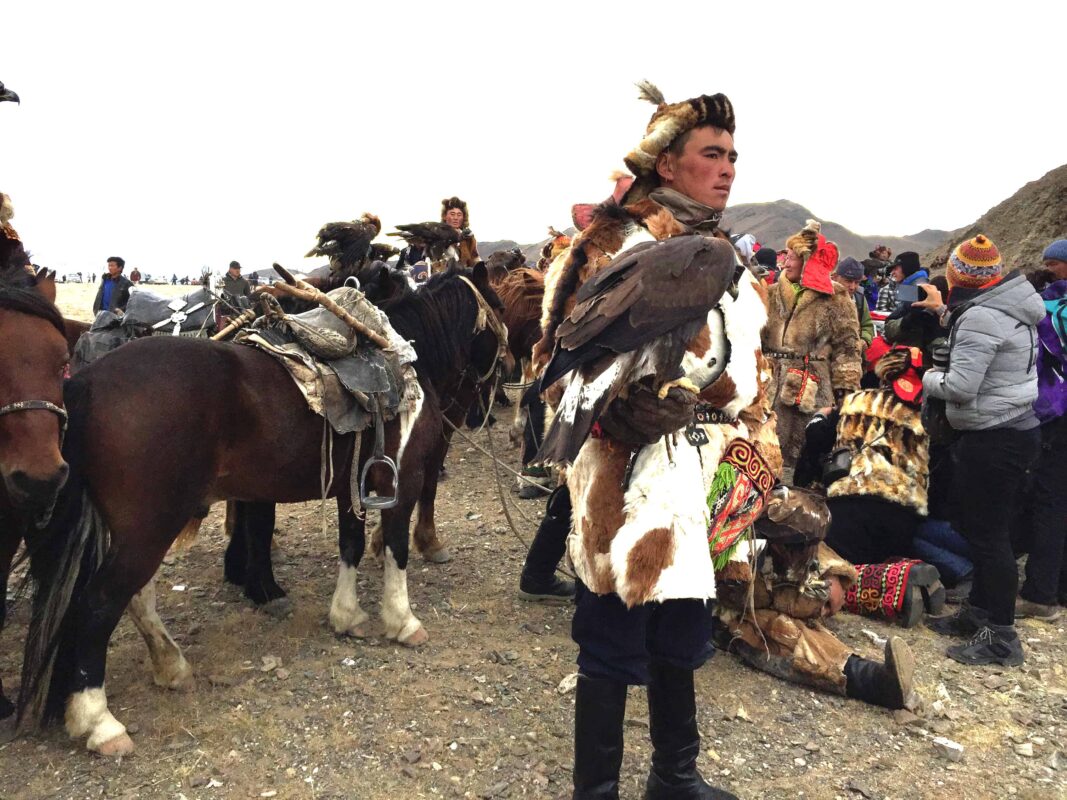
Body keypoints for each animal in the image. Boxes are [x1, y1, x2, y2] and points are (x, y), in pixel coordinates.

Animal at [14, 264, 503, 759]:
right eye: (502, 308)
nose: (499, 382)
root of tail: (85, 383)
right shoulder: (400, 484)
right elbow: (396, 550)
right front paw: (403, 621)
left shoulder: (352, 488)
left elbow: (350, 544)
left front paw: (347, 617)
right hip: (148, 528)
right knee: (99, 603)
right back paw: (99, 721)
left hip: (139, 530)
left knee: (135, 597)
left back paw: (170, 666)